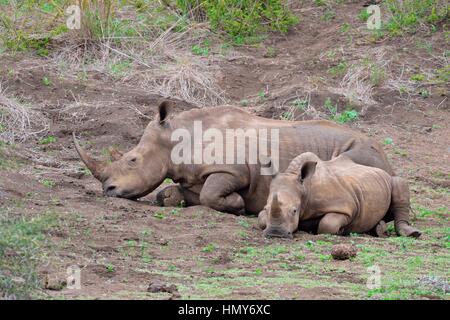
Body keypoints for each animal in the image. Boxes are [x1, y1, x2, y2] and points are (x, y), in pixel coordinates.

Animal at [258, 152, 420, 238]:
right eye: (266, 208)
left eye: (294, 211)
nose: (275, 233)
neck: (305, 188)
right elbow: (261, 219)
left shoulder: (346, 207)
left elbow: (327, 224)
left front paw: (341, 231)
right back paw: (379, 229)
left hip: (390, 179)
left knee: (399, 184)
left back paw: (412, 233)